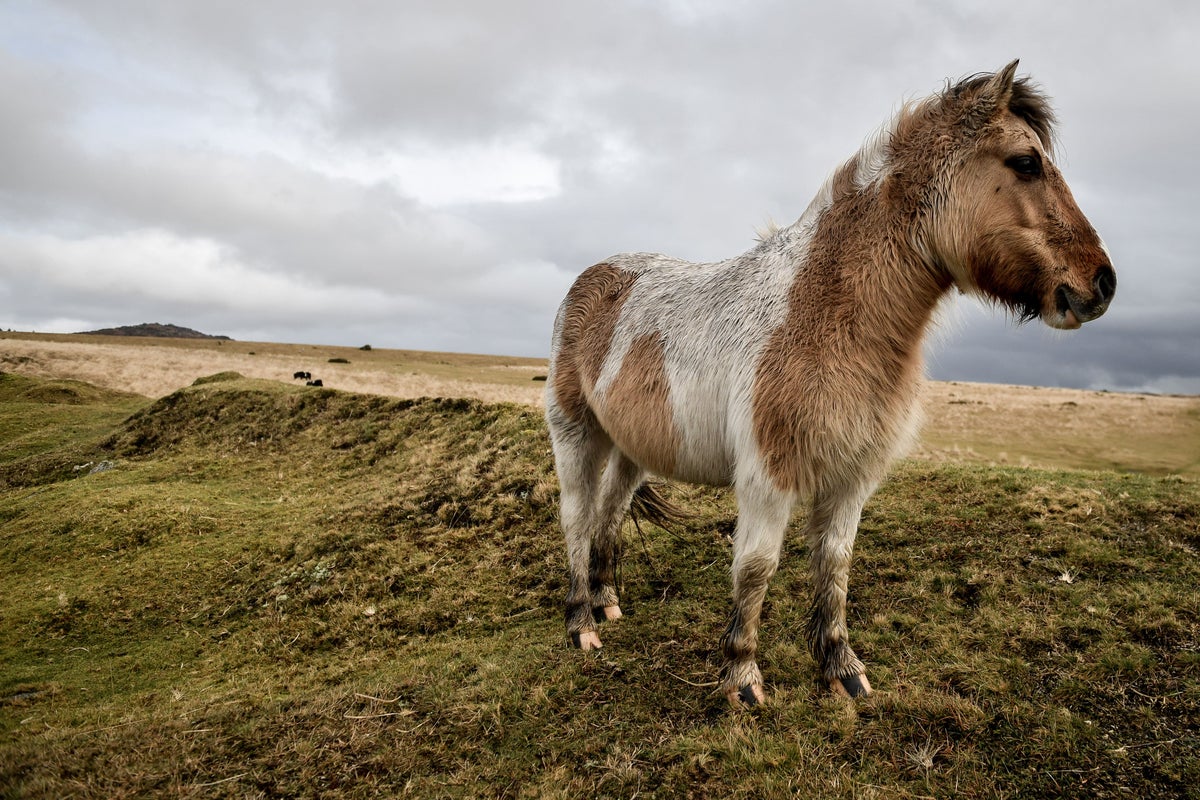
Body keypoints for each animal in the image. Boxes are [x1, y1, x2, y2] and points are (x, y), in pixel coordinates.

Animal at [543, 61, 1115, 706]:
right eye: (1026, 162)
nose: (1102, 283)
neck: (826, 313)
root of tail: (593, 279)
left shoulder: (853, 476)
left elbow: (835, 566)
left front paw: (841, 667)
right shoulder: (769, 477)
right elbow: (756, 567)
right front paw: (742, 676)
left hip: (630, 449)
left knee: (609, 513)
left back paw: (606, 602)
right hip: (575, 435)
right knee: (577, 517)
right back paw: (582, 625)